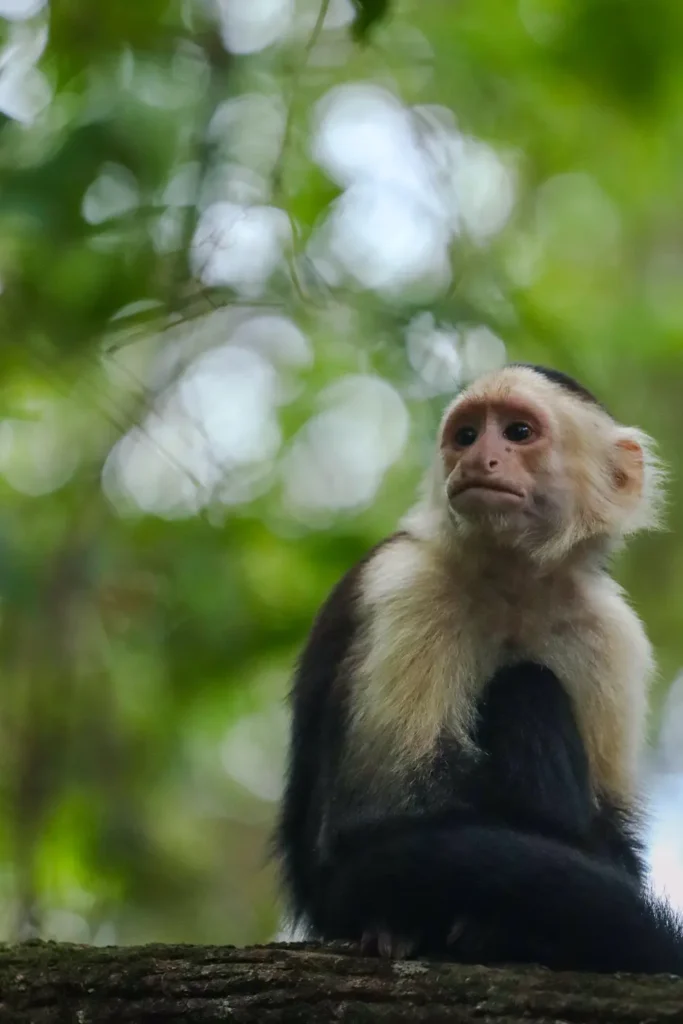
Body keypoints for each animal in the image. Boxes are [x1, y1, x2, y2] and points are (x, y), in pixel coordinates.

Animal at [274, 362, 683, 974]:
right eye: (466, 436)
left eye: (517, 432)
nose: (478, 459)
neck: (512, 582)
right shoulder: (407, 586)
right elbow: (385, 814)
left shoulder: (611, 631)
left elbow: (613, 843)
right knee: (525, 689)